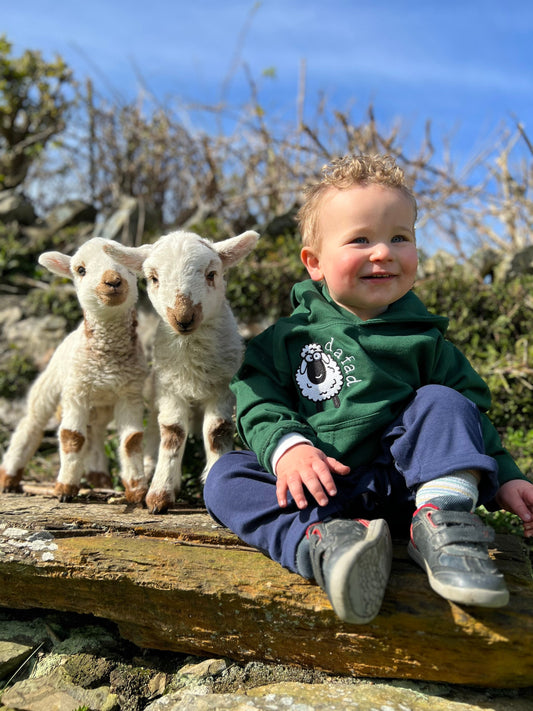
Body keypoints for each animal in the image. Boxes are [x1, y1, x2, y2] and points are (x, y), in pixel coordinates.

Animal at [0, 236, 150, 504]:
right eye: (81, 270)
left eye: (129, 266)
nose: (113, 280)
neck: (107, 357)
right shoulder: (76, 390)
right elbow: (72, 437)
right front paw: (65, 489)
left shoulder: (130, 393)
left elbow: (131, 441)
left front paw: (137, 491)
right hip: (52, 381)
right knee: (32, 422)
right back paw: (9, 478)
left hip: (102, 404)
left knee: (96, 431)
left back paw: (99, 478)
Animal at [105, 231, 258, 516]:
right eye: (153, 278)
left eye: (211, 274)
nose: (183, 317)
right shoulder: (170, 390)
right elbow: (172, 432)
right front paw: (160, 493)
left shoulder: (222, 388)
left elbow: (217, 431)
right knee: (154, 433)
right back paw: (149, 466)